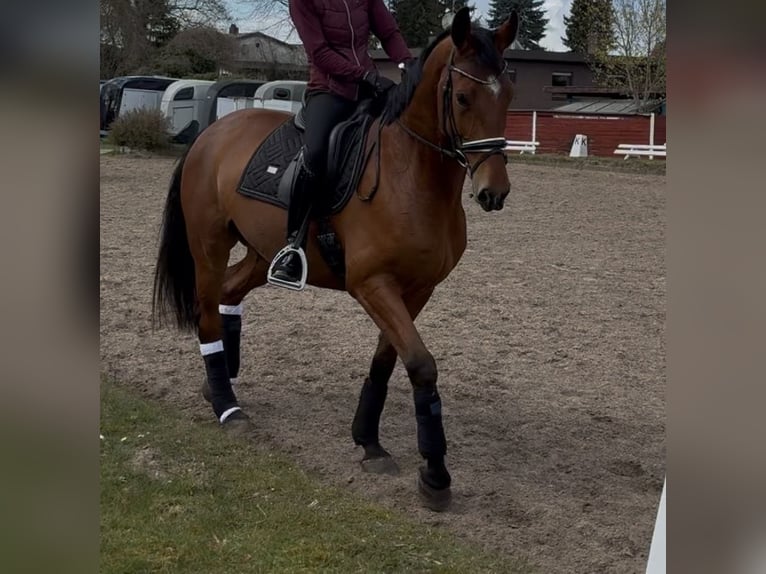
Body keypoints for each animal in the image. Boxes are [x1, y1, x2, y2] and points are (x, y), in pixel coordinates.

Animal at [152, 7, 519, 511]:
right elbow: (421, 364)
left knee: (229, 295)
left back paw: (218, 382)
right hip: (208, 245)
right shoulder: (372, 284)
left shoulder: (417, 289)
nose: (493, 193)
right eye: (462, 97)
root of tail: (212, 132)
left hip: (261, 254)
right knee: (206, 315)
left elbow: (387, 362)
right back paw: (228, 407)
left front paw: (369, 442)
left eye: (509, 96)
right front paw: (435, 474)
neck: (412, 175)